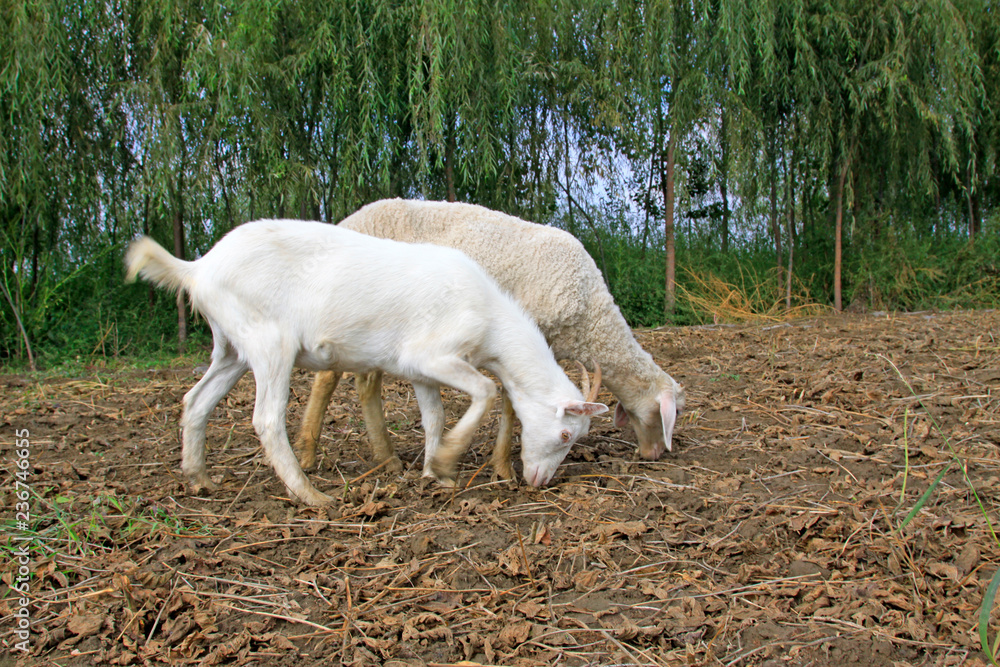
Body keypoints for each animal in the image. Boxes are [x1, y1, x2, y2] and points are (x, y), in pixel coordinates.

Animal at [125, 219, 608, 505]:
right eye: (566, 433)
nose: (540, 481)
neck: (489, 316)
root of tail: (197, 269)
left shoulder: (421, 372)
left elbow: (433, 416)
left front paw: (435, 471)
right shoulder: (432, 353)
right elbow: (487, 389)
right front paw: (448, 459)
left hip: (231, 347)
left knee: (196, 400)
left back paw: (199, 477)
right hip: (269, 343)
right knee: (266, 418)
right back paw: (310, 495)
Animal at [294, 199, 685, 481]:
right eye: (666, 414)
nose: (654, 455)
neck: (591, 319)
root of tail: (348, 219)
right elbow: (512, 404)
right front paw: (503, 468)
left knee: (366, 383)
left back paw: (386, 458)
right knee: (327, 378)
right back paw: (308, 453)